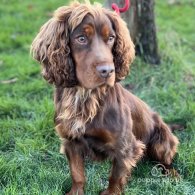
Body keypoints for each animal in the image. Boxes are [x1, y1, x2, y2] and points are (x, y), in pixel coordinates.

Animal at [31, 2, 179, 194]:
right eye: (81, 38)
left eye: (111, 38)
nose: (108, 71)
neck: (84, 95)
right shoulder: (71, 140)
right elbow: (77, 174)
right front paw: (76, 191)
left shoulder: (125, 146)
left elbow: (115, 176)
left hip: (162, 139)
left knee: (166, 161)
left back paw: (173, 175)